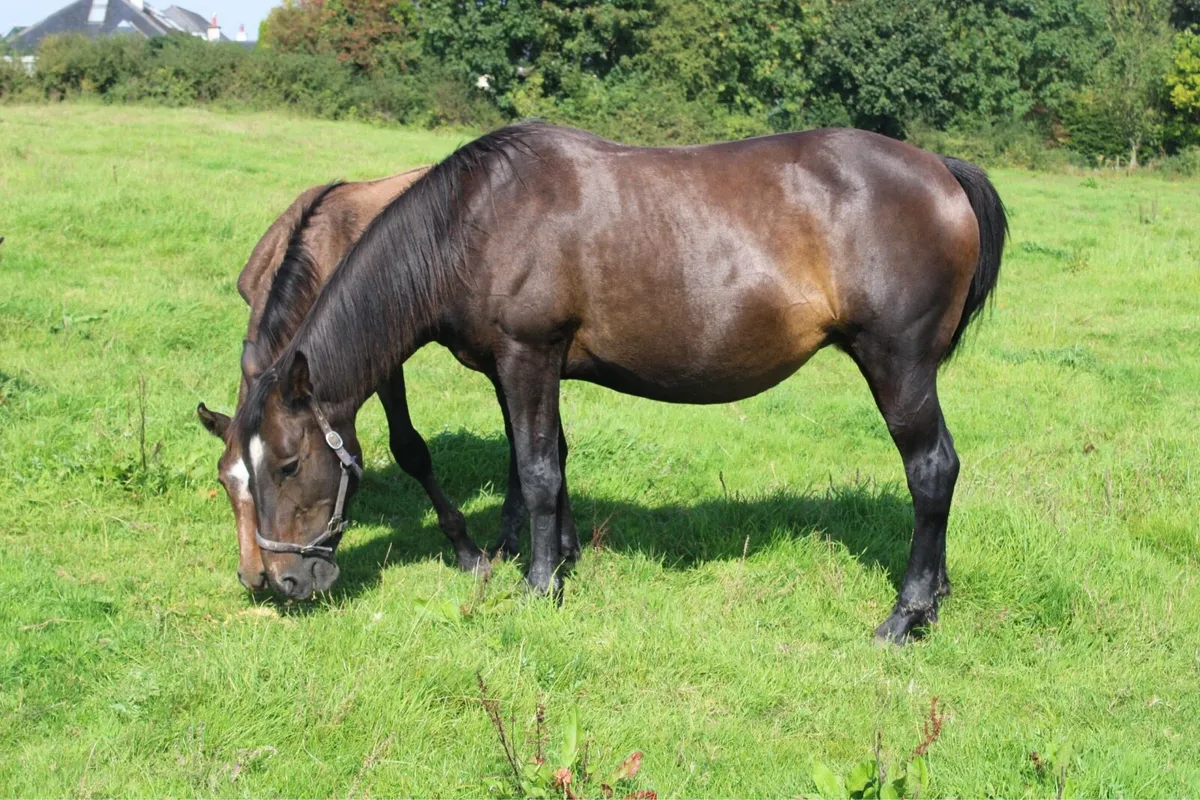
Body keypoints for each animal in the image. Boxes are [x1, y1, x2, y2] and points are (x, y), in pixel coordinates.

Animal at [195, 167, 544, 591]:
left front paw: (466, 550)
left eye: (285, 470)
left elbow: (410, 449)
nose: (254, 575)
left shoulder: (382, 363)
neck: (321, 248)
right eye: (225, 481)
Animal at [232, 122, 1006, 643]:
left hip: (897, 366)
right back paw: (934, 595)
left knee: (932, 471)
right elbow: (545, 461)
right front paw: (560, 558)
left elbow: (537, 470)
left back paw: (906, 615)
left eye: (289, 463)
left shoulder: (528, 355)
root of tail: (942, 168)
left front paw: (538, 586)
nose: (281, 581)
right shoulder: (522, 367)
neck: (474, 220)